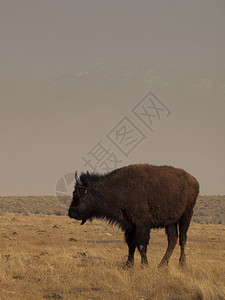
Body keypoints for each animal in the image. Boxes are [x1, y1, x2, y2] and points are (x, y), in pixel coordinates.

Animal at [68, 164, 199, 268]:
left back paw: (181, 264)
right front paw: (128, 265)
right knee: (172, 240)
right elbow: (131, 245)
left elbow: (141, 244)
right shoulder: (129, 225)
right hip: (170, 222)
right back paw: (162, 265)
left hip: (186, 215)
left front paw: (144, 265)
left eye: (78, 195)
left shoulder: (141, 224)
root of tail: (194, 180)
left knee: (182, 239)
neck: (121, 189)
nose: (70, 212)